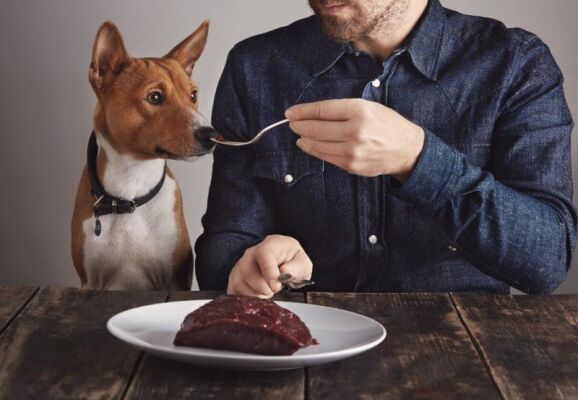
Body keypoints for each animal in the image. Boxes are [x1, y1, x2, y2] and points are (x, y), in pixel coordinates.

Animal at [71, 20, 215, 290]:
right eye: (155, 97)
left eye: (193, 95)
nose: (210, 134)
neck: (130, 192)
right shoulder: (90, 281)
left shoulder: (174, 279)